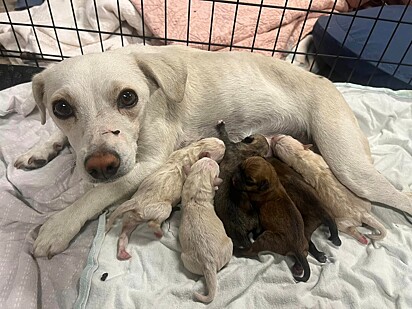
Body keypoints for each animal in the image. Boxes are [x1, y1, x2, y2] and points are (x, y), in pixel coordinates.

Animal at [179, 158, 233, 302]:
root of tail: (209, 263)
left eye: (201, 160)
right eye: (215, 167)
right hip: (229, 244)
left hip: (187, 260)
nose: (210, 159)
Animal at [212, 120, 270, 248]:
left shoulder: (229, 145)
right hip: (255, 219)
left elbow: (224, 135)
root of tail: (242, 233)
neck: (251, 151)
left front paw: (221, 125)